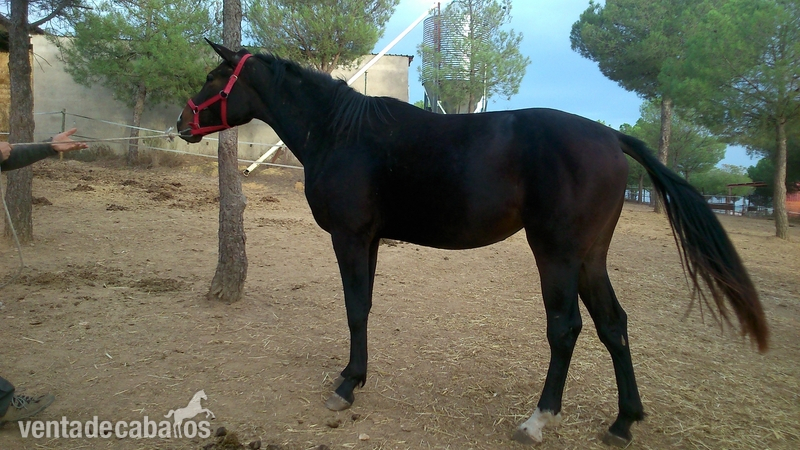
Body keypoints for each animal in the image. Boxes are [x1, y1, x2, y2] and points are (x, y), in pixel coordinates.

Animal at [177, 41, 768, 446]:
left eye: (211, 76)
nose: (183, 121)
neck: (342, 133)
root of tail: (609, 136)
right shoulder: (370, 240)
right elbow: (364, 307)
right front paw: (354, 376)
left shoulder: (350, 238)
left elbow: (354, 307)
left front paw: (346, 385)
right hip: (590, 258)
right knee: (613, 325)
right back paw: (623, 421)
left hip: (556, 254)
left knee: (566, 329)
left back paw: (538, 418)